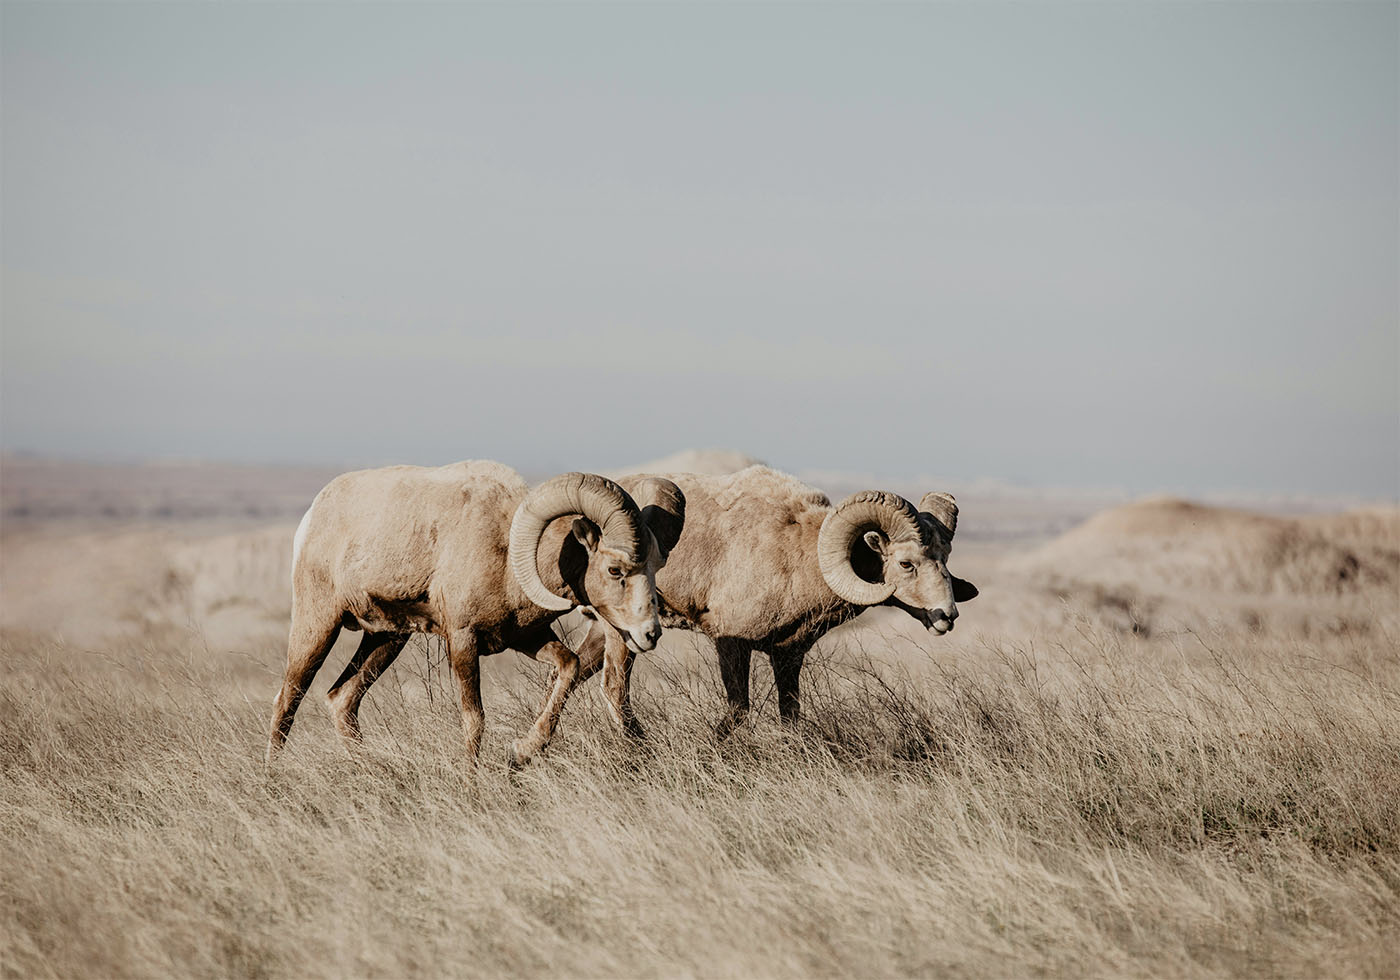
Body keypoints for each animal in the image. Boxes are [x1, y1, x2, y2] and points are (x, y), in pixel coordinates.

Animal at [266, 462, 683, 767]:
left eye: (654, 568)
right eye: (615, 570)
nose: (650, 633)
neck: (507, 555)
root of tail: (313, 516)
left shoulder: (526, 639)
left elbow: (569, 667)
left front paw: (523, 752)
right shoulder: (463, 641)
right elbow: (474, 719)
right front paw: (472, 781)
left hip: (387, 638)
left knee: (342, 699)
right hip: (319, 626)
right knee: (287, 700)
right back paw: (273, 777)